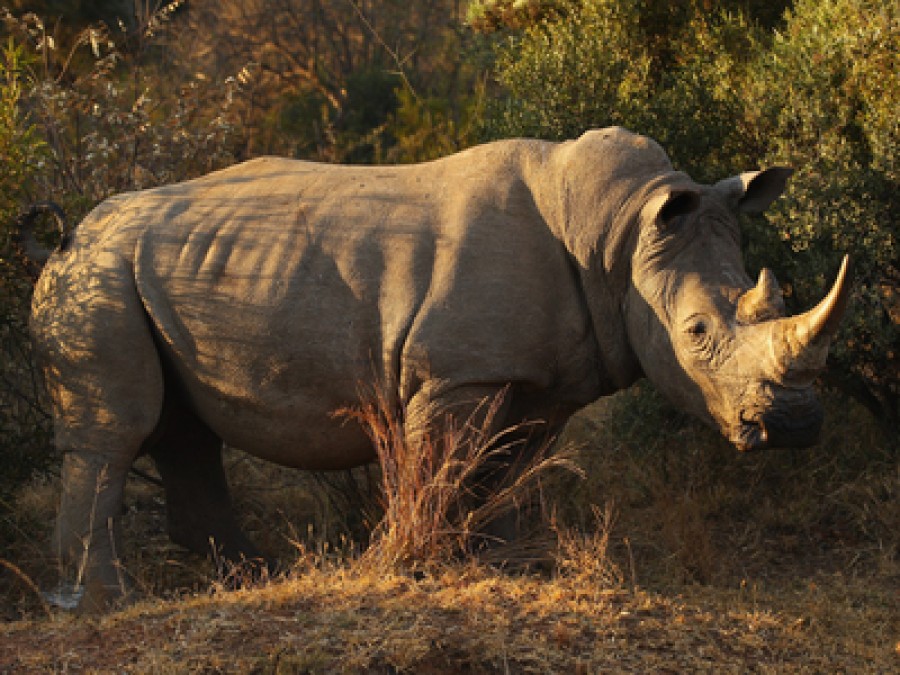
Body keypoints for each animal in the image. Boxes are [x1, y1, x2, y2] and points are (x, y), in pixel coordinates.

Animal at [24, 127, 848, 612]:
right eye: (698, 332)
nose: (797, 425)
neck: (616, 234)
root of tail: (67, 233)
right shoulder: (459, 374)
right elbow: (437, 464)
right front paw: (404, 563)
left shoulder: (541, 382)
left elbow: (510, 467)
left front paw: (512, 564)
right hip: (95, 276)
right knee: (116, 433)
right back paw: (106, 602)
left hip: (156, 268)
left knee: (185, 432)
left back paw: (249, 575)